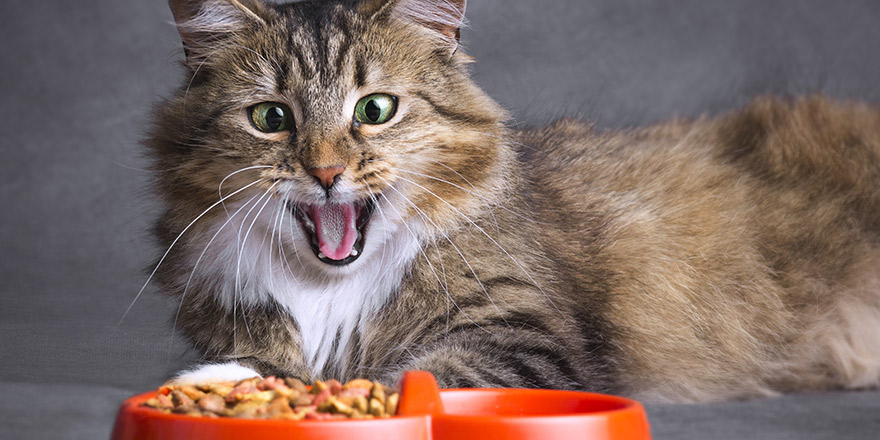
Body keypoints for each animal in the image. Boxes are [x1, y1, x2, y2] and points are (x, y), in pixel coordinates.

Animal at [146, 0, 880, 402]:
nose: (326, 171)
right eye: (271, 119)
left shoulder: (521, 335)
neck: (329, 289)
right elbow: (271, 361)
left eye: (375, 110)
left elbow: (400, 381)